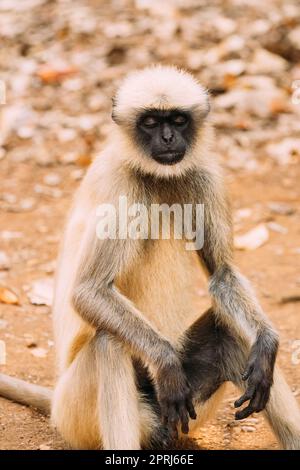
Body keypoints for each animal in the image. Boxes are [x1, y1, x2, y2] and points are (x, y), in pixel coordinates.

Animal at [0, 65, 300, 448]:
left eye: (178, 120)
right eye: (151, 122)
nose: (169, 138)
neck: (156, 176)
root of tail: (55, 404)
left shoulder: (205, 175)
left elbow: (222, 274)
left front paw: (267, 343)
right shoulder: (120, 185)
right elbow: (89, 290)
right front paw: (167, 362)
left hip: (187, 415)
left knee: (230, 333)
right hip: (77, 416)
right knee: (108, 341)